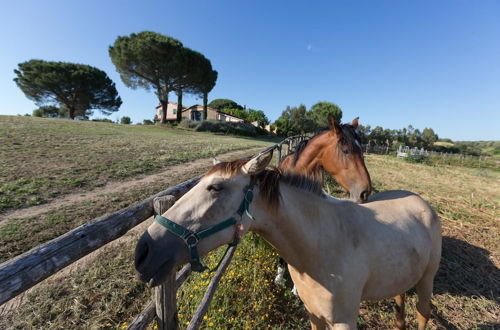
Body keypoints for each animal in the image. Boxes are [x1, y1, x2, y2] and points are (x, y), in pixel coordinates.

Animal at [134, 150, 442, 330]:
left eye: (216, 187)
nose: (143, 251)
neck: (322, 245)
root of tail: (421, 202)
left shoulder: (344, 321)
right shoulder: (314, 314)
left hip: (427, 281)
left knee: (422, 313)